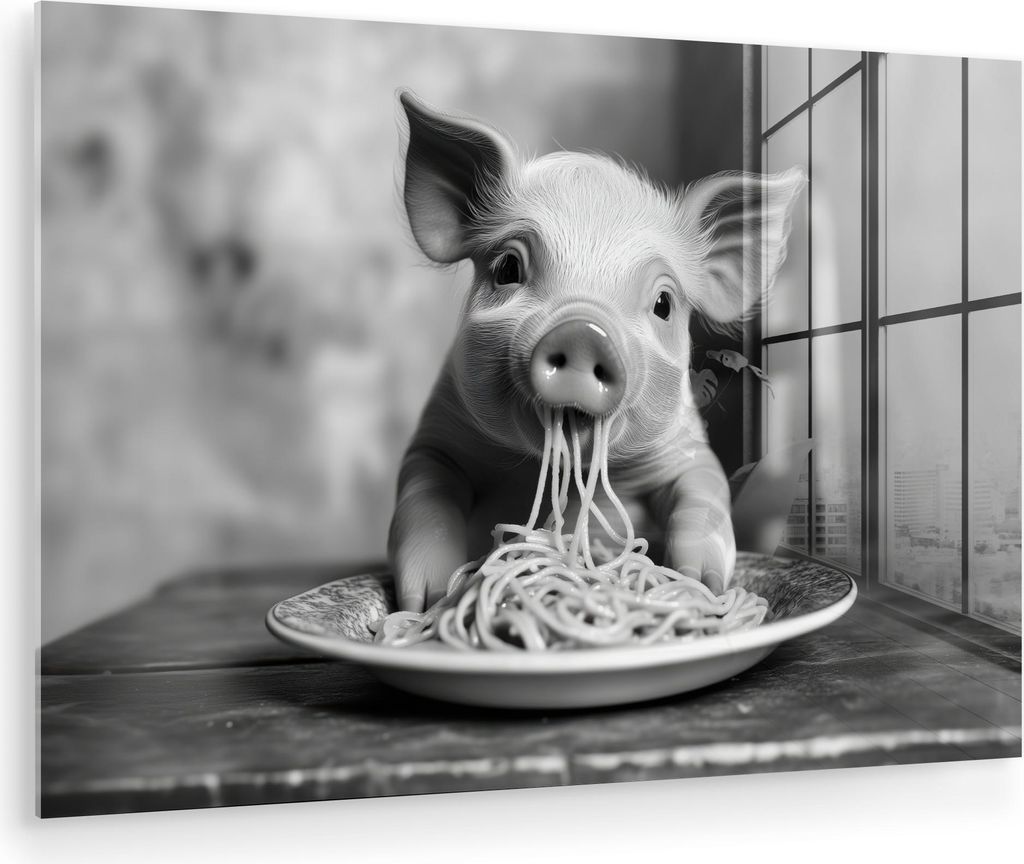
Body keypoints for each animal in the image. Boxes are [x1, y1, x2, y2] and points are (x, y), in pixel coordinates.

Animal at [389, 89, 805, 613]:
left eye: (664, 303)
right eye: (507, 268)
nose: (582, 331)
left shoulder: (684, 447)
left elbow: (702, 490)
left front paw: (701, 584)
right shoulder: (438, 435)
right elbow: (425, 495)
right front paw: (427, 601)